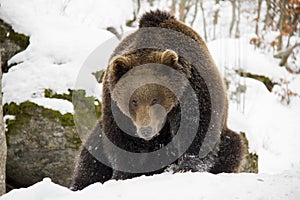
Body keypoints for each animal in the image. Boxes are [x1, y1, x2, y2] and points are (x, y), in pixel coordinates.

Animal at [69, 9, 244, 191]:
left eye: (155, 99)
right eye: (133, 101)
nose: (146, 130)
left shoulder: (193, 90)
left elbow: (199, 128)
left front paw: (186, 167)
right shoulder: (114, 105)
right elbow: (123, 144)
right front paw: (123, 175)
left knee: (233, 146)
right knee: (91, 155)